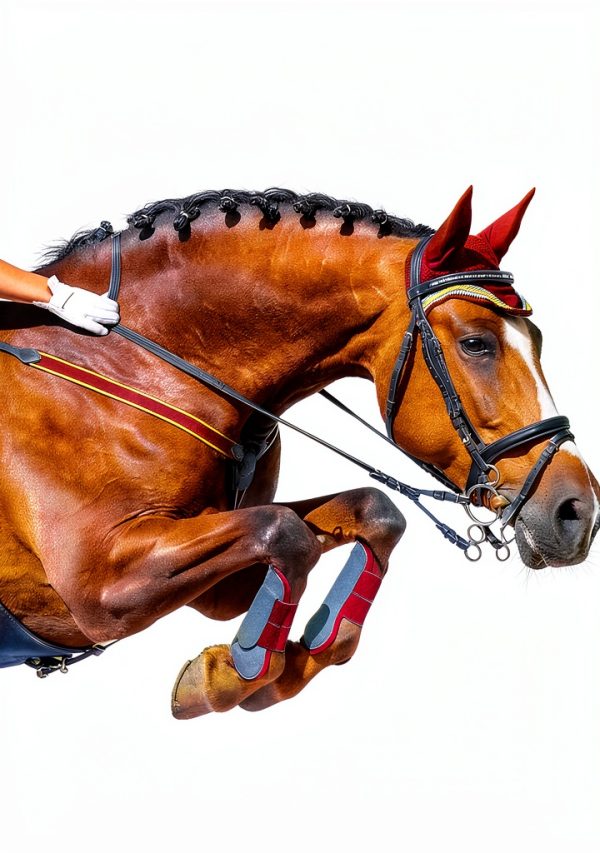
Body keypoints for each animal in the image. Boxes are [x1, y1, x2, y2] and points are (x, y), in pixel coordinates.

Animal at [0, 186, 597, 719]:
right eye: (477, 343)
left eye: (538, 339)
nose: (578, 513)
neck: (136, 360)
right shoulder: (101, 587)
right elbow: (283, 532)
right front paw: (226, 675)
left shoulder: (208, 577)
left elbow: (368, 514)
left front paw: (264, 672)